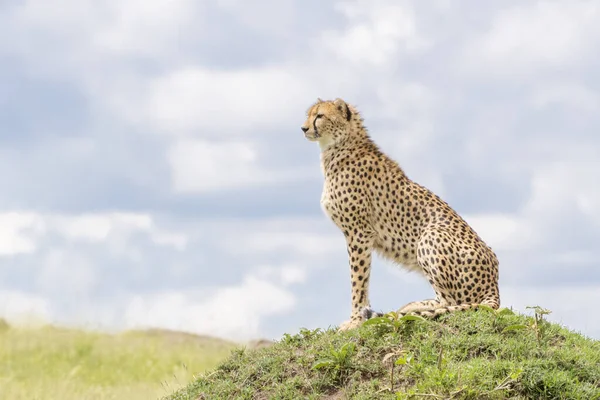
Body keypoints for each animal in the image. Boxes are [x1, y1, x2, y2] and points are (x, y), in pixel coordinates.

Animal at [300, 97, 502, 332]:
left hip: (430, 235)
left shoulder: (359, 233)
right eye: (309, 114)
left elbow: (358, 281)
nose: (303, 128)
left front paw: (355, 321)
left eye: (319, 116)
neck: (340, 146)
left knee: (452, 301)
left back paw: (412, 307)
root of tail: (494, 283)